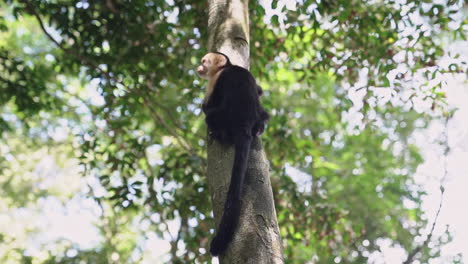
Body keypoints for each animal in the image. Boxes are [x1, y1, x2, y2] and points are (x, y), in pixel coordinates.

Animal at [197, 51, 268, 256]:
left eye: (204, 62)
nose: (198, 66)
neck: (226, 67)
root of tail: (245, 123)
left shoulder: (216, 80)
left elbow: (210, 103)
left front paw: (204, 106)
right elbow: (259, 90)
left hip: (224, 117)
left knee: (211, 116)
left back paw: (217, 132)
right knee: (263, 114)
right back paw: (260, 126)